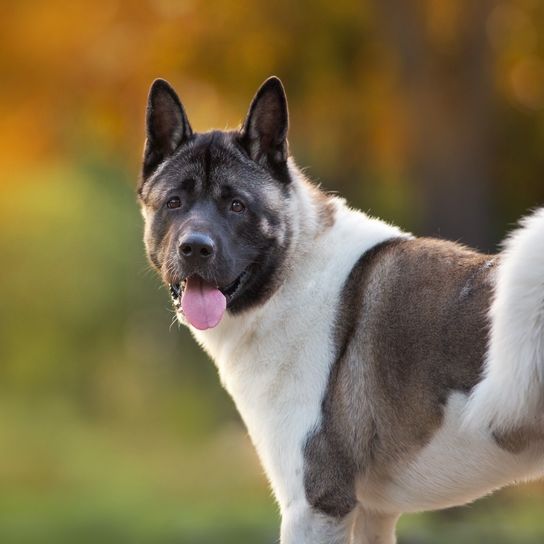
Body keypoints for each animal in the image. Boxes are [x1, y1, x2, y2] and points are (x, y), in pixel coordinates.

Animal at [138, 77, 544, 544]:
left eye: (237, 205)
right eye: (174, 202)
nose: (195, 248)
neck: (295, 271)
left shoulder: (316, 506)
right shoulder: (374, 514)